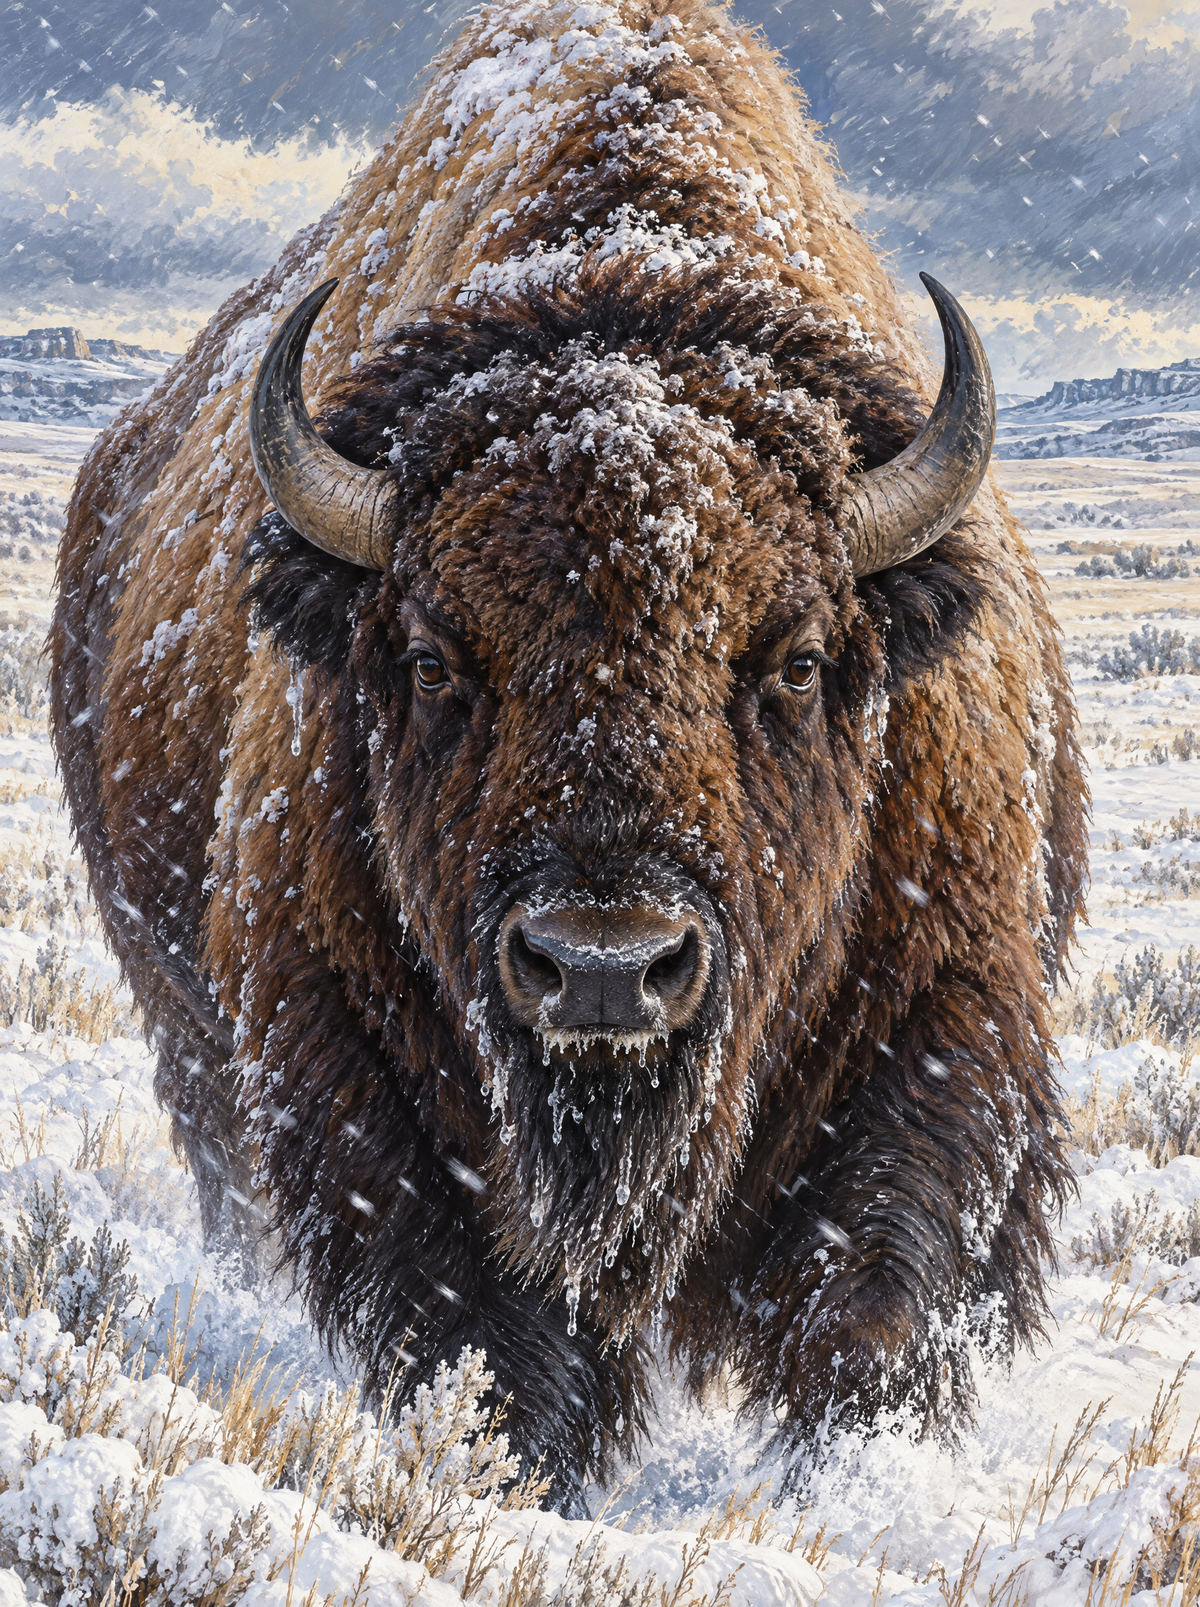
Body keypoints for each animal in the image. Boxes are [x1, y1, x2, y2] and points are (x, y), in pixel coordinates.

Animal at [52, 0, 1087, 1491]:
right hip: (187, 1035)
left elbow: (871, 1300)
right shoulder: (357, 1063)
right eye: (433, 659)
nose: (605, 966)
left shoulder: (941, 1015)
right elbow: (483, 1321)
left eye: (796, 658)